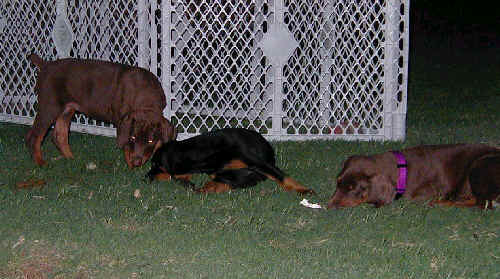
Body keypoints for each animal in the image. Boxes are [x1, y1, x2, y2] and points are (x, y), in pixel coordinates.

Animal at [27, 54, 177, 168]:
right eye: (132, 138)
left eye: (150, 141)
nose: (136, 163)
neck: (145, 99)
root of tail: (45, 65)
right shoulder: (123, 121)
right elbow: (126, 146)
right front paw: (130, 164)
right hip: (49, 107)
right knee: (34, 136)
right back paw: (40, 162)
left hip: (67, 109)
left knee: (59, 136)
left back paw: (71, 158)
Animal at [328, 144, 500, 210]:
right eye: (338, 183)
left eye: (353, 188)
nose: (329, 206)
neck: (403, 170)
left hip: (478, 165)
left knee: (481, 203)